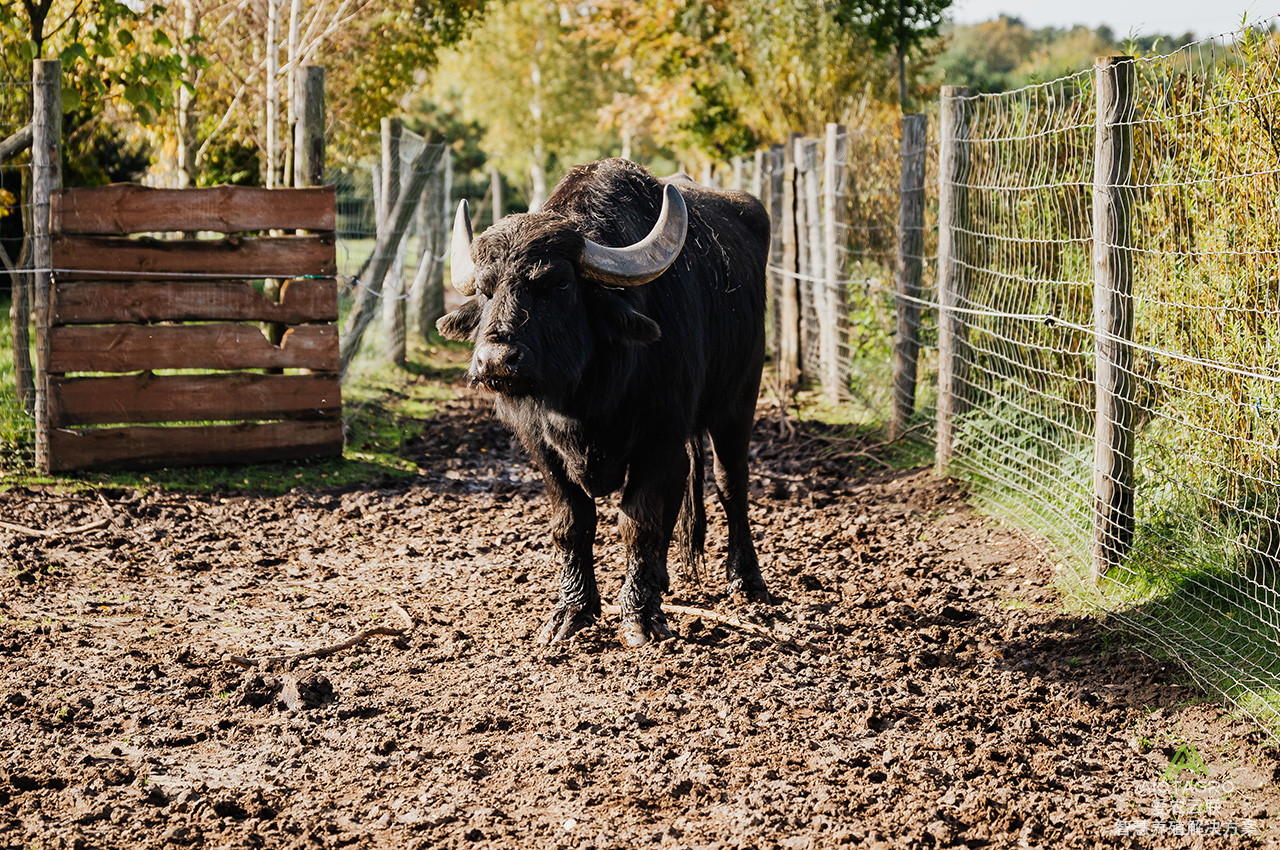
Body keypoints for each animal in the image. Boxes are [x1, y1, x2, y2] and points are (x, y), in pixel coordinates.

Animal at [435, 159, 768, 647]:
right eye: (484, 288)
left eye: (555, 283)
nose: (495, 360)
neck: (585, 398)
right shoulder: (540, 447)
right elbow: (572, 523)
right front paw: (572, 611)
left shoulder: (659, 436)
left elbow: (638, 521)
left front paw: (640, 615)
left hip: (739, 400)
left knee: (731, 484)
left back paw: (746, 580)